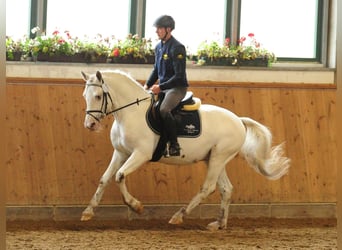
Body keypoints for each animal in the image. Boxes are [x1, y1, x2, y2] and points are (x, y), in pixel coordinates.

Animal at [81, 70, 290, 230]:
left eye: (98, 96)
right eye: (85, 96)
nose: (90, 125)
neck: (131, 112)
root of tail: (239, 120)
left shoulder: (140, 154)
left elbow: (120, 176)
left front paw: (136, 206)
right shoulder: (121, 153)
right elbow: (105, 179)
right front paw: (88, 212)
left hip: (218, 158)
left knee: (208, 188)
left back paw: (179, 216)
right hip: (215, 159)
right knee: (226, 189)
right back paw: (219, 223)